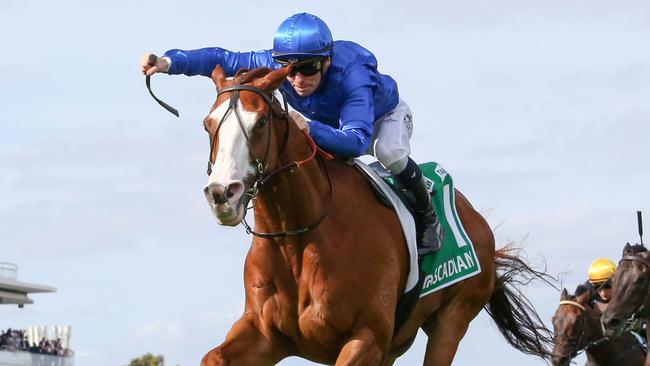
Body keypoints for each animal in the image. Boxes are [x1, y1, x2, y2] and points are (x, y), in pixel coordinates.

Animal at [196, 66, 552, 366]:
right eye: (208, 124)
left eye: (260, 122)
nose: (222, 194)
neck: (296, 238)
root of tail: (479, 224)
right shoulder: (266, 334)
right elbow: (214, 357)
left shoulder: (367, 337)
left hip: (452, 318)